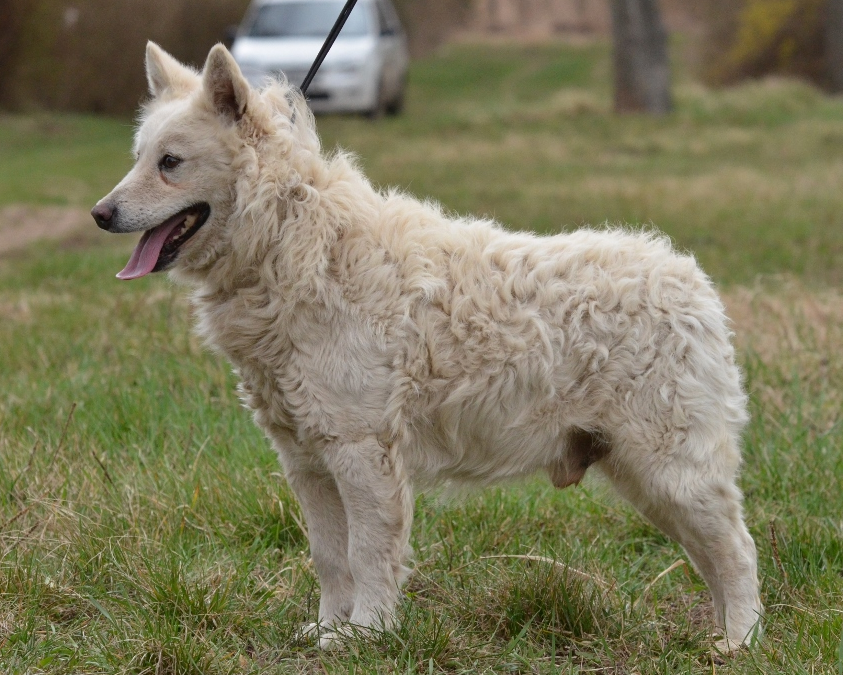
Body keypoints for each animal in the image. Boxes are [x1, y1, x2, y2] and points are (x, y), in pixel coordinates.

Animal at [94, 43, 764, 656]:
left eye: (170, 163)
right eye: (137, 159)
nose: (101, 213)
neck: (292, 244)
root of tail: (692, 281)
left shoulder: (361, 453)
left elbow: (367, 555)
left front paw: (367, 635)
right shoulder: (306, 461)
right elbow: (329, 558)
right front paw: (328, 636)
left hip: (672, 471)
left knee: (738, 550)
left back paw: (741, 643)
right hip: (646, 477)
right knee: (713, 556)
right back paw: (720, 635)